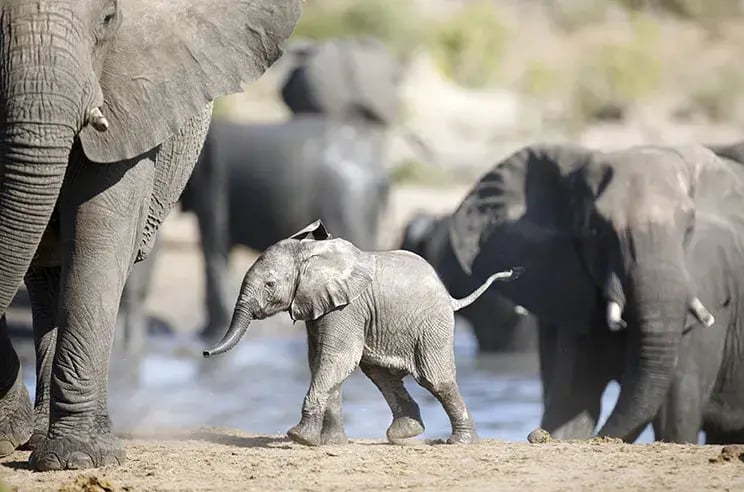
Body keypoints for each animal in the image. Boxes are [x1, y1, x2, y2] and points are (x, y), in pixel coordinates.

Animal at [0, 0, 302, 470]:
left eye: (108, 20)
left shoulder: (133, 102)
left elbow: (103, 228)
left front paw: (76, 459)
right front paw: (13, 434)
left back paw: (50, 438)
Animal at [201, 219, 520, 446]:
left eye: (269, 285)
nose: (204, 352)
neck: (311, 254)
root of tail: (450, 297)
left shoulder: (347, 308)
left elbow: (336, 359)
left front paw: (299, 437)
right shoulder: (321, 307)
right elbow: (320, 362)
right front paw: (332, 444)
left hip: (432, 325)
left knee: (435, 378)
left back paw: (460, 442)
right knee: (381, 374)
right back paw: (404, 434)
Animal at [444, 141, 744, 442]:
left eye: (690, 228)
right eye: (595, 230)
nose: (533, 434)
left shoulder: (710, 283)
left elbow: (678, 412)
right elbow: (574, 400)